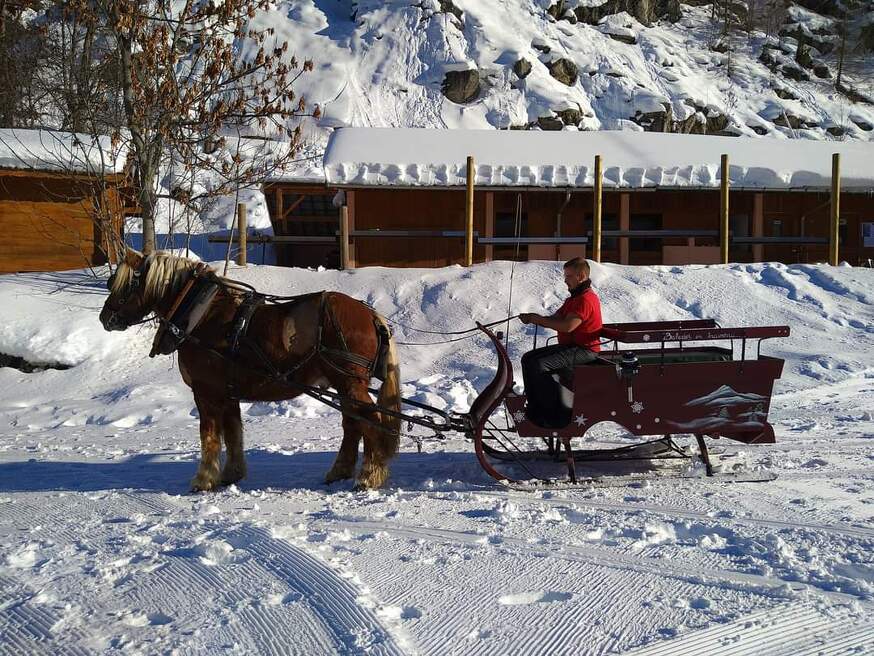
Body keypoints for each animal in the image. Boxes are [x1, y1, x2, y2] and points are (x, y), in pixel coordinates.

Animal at [99, 249, 402, 490]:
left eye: (125, 283)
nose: (105, 317)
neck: (201, 315)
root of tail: (371, 315)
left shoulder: (206, 392)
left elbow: (209, 435)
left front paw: (203, 480)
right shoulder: (227, 393)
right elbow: (233, 432)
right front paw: (231, 474)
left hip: (349, 383)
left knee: (370, 420)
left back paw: (369, 476)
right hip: (343, 385)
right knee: (353, 423)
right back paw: (340, 471)